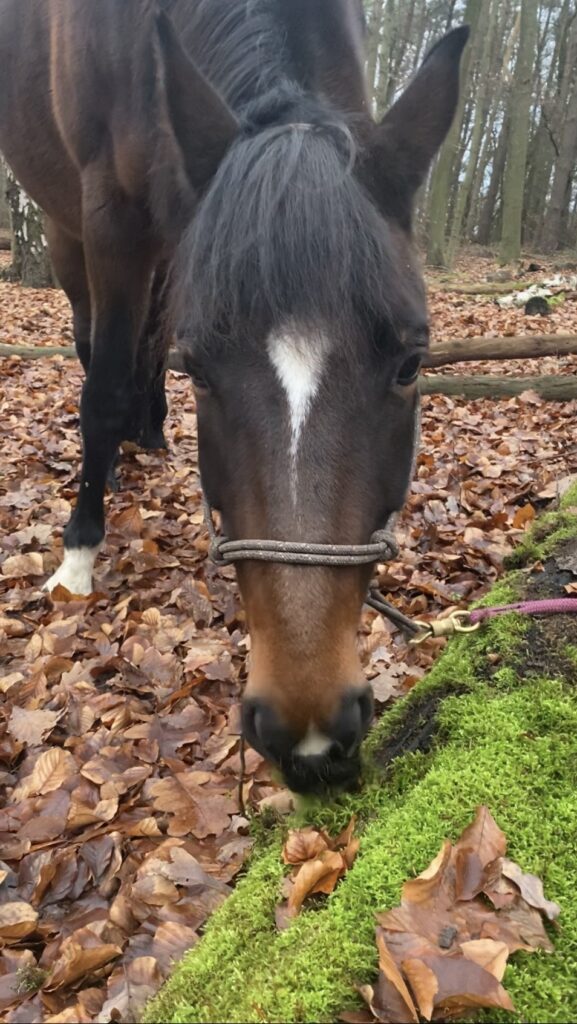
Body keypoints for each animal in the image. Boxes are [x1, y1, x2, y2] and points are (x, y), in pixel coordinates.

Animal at [0, 0, 468, 793]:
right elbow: (102, 388)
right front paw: (77, 555)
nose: (308, 731)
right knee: (97, 343)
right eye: (200, 368)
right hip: (67, 227)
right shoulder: (108, 213)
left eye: (411, 362)